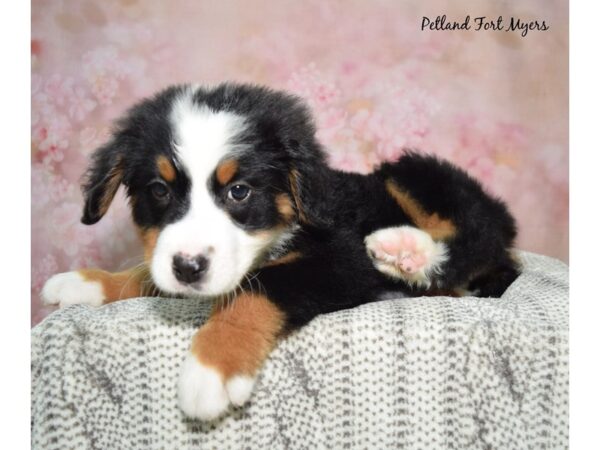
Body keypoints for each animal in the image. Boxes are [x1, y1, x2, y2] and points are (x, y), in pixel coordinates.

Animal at [42, 82, 520, 420]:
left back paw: (405, 252)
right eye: (159, 190)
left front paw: (210, 366)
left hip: (411, 176)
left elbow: (260, 288)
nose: (189, 268)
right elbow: (148, 272)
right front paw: (88, 282)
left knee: (476, 243)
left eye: (239, 191)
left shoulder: (340, 258)